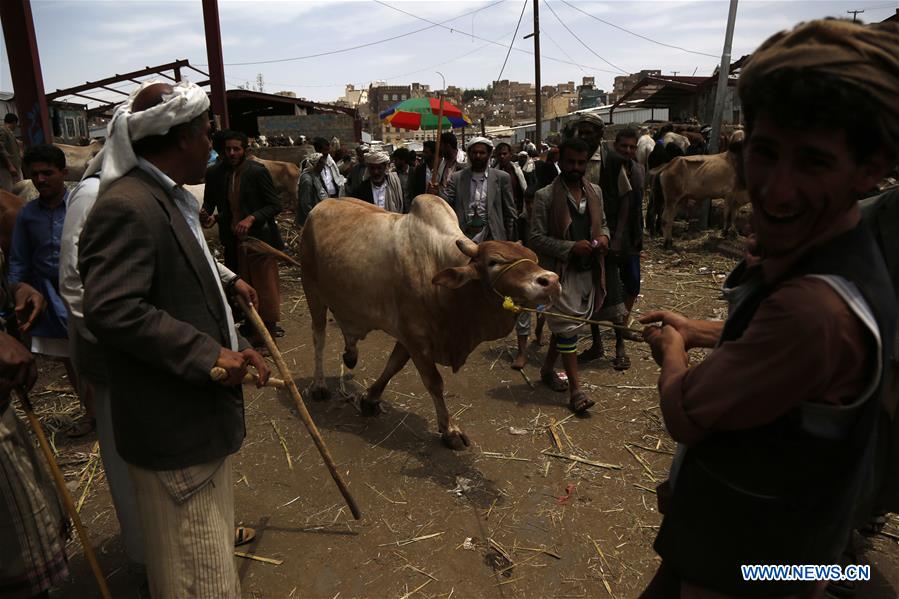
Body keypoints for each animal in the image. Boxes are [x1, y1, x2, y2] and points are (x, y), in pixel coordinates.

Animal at [298, 195, 560, 448]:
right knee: (318, 337)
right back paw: (319, 386)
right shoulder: (416, 338)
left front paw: (370, 399)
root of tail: (319, 206)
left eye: (534, 258)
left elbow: (393, 366)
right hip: (312, 291)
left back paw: (350, 355)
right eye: (493, 261)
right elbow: (434, 382)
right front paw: (450, 430)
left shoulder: (408, 337)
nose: (551, 280)